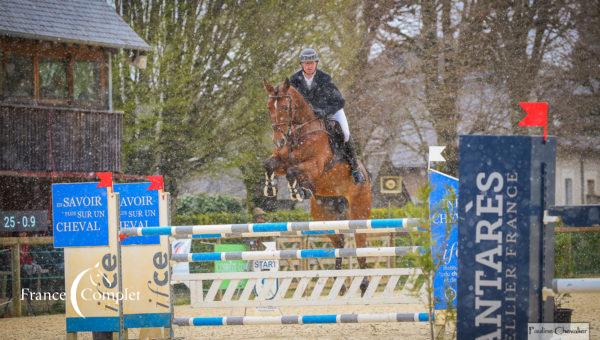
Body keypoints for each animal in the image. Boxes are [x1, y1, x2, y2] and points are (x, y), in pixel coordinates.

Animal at [262, 77, 370, 284]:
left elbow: (293, 171)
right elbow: (269, 164)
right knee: (340, 243)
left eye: (285, 107)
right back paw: (339, 282)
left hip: (359, 213)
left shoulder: (316, 165)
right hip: (324, 216)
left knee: (360, 250)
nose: (279, 140)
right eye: (269, 107)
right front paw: (271, 188)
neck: (300, 132)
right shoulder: (282, 161)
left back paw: (364, 284)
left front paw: (298, 190)